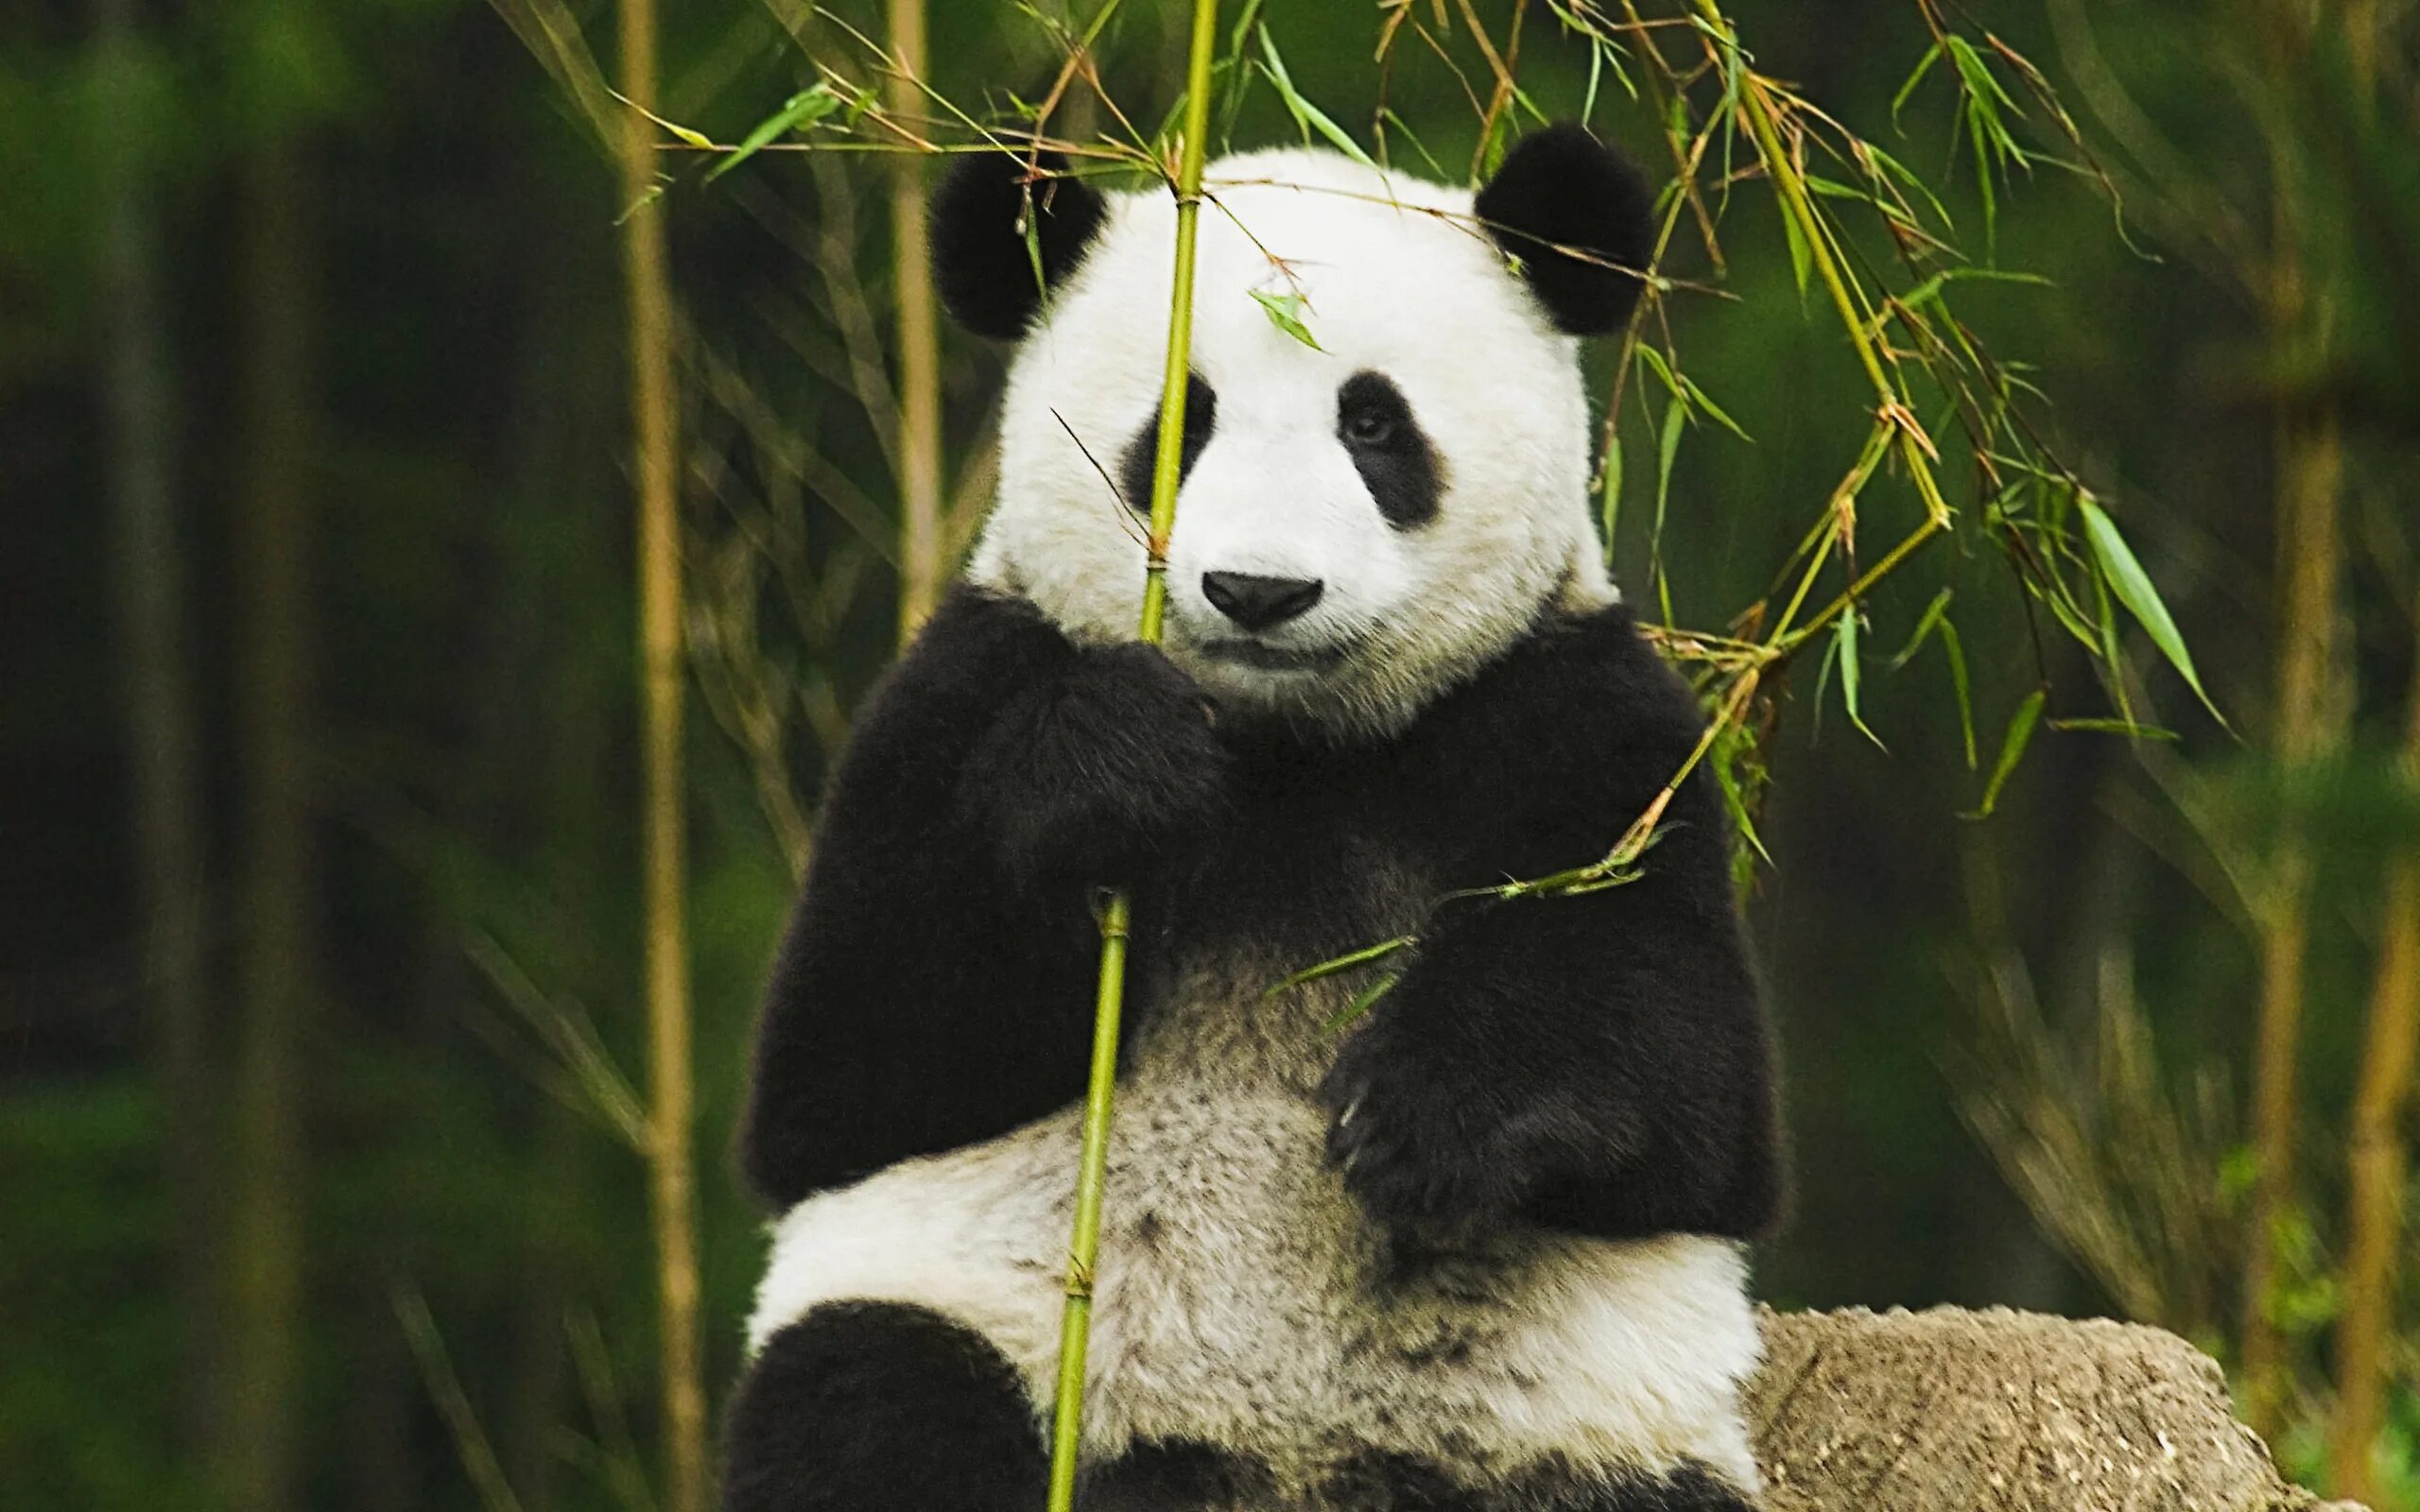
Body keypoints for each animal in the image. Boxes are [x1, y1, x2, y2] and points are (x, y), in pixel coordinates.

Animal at [724, 123, 1783, 1512]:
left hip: (1582, 1436)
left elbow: (1680, 1064)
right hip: (976, 1325)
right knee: (866, 1404)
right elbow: (849, 1063)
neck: (1290, 748)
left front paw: (1419, 1118)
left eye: (1374, 424)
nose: (1259, 591)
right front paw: (1113, 764)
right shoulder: (955, 687)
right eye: (1182, 424)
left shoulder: (1576, 714)